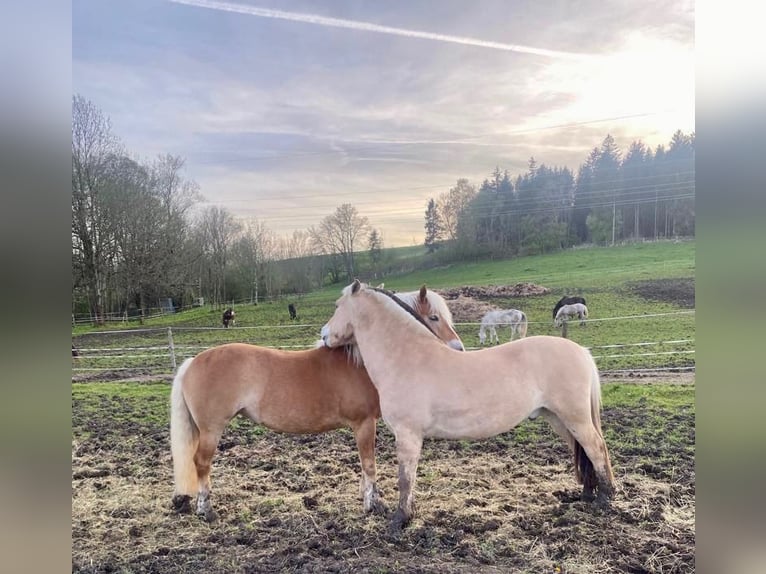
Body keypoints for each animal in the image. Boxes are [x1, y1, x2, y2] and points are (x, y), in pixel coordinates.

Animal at [172, 286, 464, 524]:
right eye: (434, 317)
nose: (458, 349)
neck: (359, 362)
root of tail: (192, 362)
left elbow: (364, 465)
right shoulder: (364, 423)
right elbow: (369, 464)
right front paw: (375, 504)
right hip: (211, 430)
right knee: (201, 463)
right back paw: (207, 510)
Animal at [320, 282, 616, 532]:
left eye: (336, 305)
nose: (323, 335)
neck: (408, 357)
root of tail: (580, 351)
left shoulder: (407, 435)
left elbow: (404, 479)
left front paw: (399, 521)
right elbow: (410, 479)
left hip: (574, 417)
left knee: (596, 447)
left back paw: (605, 497)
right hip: (558, 419)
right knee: (583, 450)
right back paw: (586, 494)